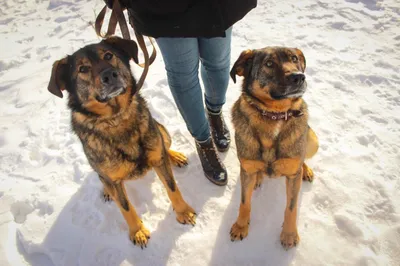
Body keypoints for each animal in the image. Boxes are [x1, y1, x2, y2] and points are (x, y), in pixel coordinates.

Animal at [47, 36, 197, 248]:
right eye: (83, 69)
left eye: (109, 56)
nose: (110, 75)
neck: (116, 118)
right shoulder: (112, 179)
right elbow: (125, 207)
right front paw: (138, 231)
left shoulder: (157, 156)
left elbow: (172, 187)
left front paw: (183, 211)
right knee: (104, 180)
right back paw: (107, 191)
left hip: (162, 131)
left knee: (164, 145)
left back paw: (174, 156)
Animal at [228, 46, 318, 248]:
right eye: (269, 63)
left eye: (294, 59)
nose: (299, 77)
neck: (274, 114)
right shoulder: (246, 168)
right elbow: (244, 202)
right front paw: (241, 226)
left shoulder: (292, 175)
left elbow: (291, 208)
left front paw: (289, 234)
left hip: (312, 140)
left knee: (303, 158)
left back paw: (306, 170)